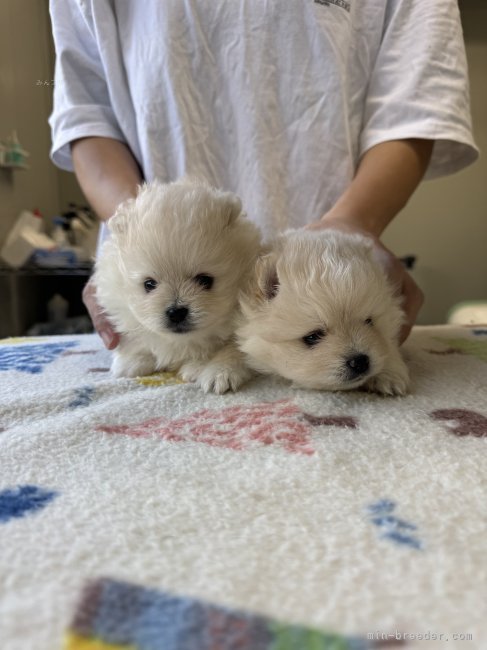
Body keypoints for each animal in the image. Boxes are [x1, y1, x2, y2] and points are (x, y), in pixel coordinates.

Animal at [95, 175, 264, 392]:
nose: (176, 312)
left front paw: (216, 372)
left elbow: (234, 348)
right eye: (149, 284)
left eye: (205, 280)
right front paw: (131, 361)